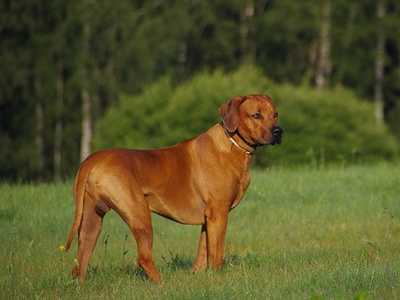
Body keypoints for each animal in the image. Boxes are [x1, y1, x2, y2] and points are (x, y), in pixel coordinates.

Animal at [63, 95, 282, 282]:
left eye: (275, 114)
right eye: (256, 115)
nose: (278, 131)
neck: (233, 145)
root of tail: (91, 160)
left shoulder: (209, 218)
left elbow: (203, 251)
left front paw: (199, 276)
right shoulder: (219, 213)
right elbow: (217, 253)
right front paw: (218, 278)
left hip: (91, 219)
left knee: (81, 258)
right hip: (139, 213)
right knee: (143, 258)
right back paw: (161, 284)